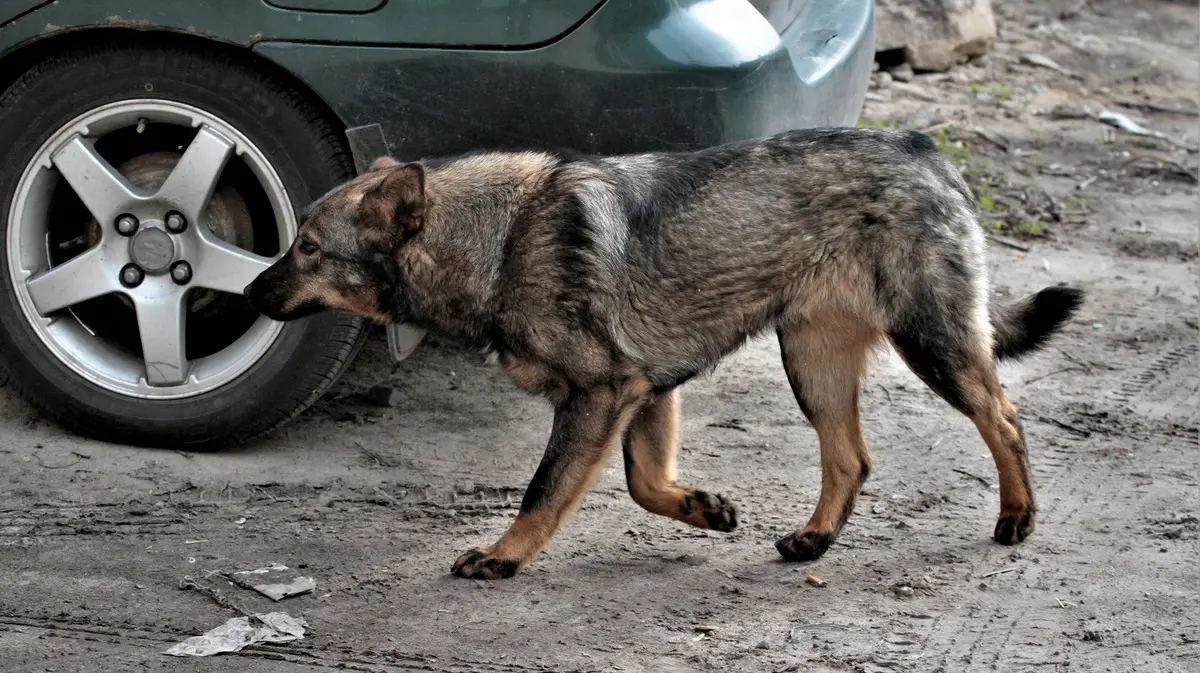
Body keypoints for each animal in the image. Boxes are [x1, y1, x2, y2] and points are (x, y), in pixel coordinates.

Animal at [246, 127, 1089, 578]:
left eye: (309, 248)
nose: (249, 290)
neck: (501, 238)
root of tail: (921, 149)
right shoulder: (646, 392)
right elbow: (646, 483)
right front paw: (702, 509)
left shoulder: (605, 393)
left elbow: (542, 490)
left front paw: (503, 554)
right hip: (811, 363)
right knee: (851, 457)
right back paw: (815, 537)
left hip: (931, 344)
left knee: (1003, 417)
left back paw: (1018, 515)